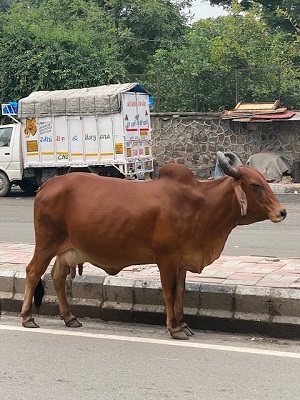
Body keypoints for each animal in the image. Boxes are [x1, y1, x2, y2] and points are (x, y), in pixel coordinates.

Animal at [19, 152, 288, 340]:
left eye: (265, 181)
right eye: (255, 185)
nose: (282, 212)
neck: (201, 205)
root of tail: (48, 185)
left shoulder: (182, 261)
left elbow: (181, 293)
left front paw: (183, 324)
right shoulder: (166, 258)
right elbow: (169, 292)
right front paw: (173, 329)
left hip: (66, 250)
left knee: (57, 276)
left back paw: (69, 317)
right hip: (46, 244)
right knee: (33, 272)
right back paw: (27, 317)